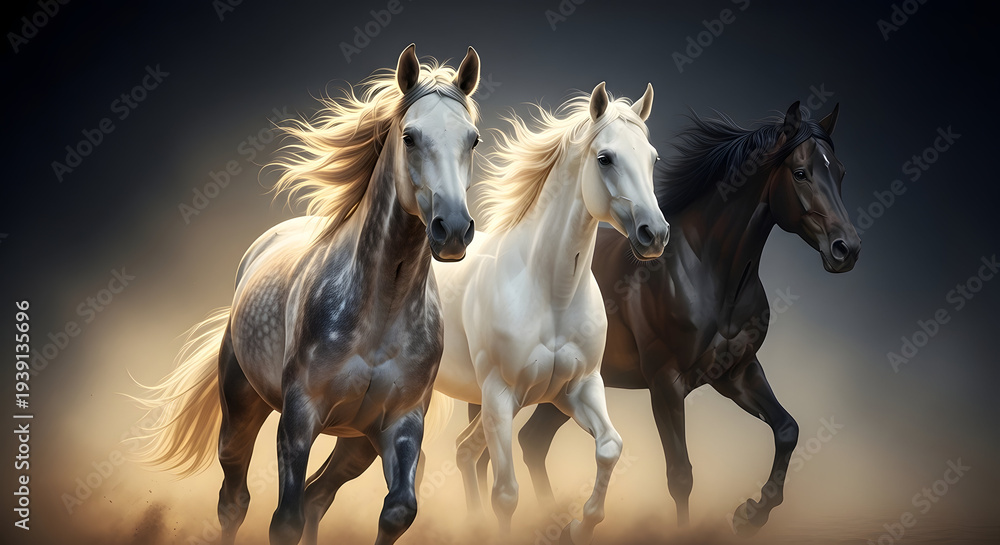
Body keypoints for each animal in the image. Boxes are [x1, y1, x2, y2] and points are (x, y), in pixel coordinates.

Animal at [131, 44, 482, 545]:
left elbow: (398, 511)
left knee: (319, 494)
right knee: (234, 500)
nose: (452, 230)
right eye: (410, 137)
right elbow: (285, 520)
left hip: (356, 443)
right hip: (241, 409)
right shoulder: (299, 418)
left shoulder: (401, 423)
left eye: (472, 140)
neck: (381, 310)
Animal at [427, 82, 669, 545]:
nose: (655, 234)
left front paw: (579, 525)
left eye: (652, 157)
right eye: (605, 158)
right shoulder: (500, 395)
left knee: (465, 450)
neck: (550, 294)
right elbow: (506, 494)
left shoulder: (578, 388)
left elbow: (610, 447)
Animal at [503, 101, 861, 536]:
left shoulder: (737, 373)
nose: (847, 249)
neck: (708, 274)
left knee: (532, 442)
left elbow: (787, 430)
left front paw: (751, 514)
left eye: (840, 172)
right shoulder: (665, 383)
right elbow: (681, 475)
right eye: (801, 172)